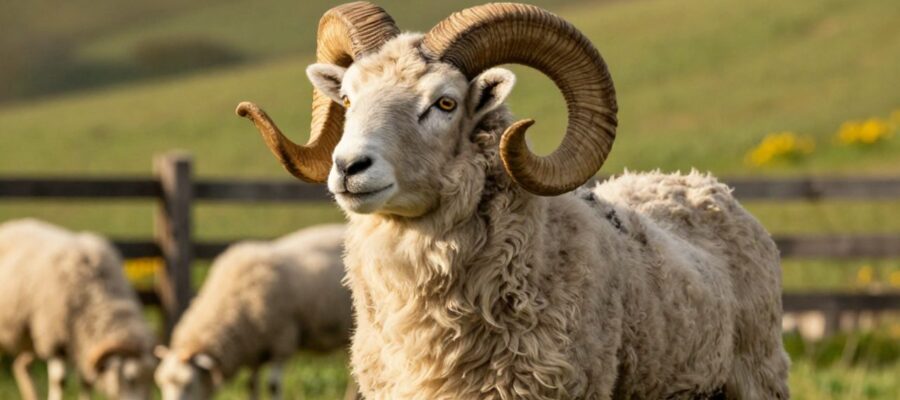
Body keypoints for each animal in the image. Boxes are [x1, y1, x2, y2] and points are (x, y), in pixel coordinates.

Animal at [0, 218, 157, 400]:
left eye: (151, 379)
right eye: (130, 378)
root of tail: (8, 226)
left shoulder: (81, 343)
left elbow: (86, 381)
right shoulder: (54, 337)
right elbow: (59, 381)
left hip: (31, 338)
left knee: (21, 365)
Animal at [154, 224, 354, 400]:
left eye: (189, 384)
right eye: (161, 383)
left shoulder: (281, 341)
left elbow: (273, 385)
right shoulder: (254, 349)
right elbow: (251, 385)